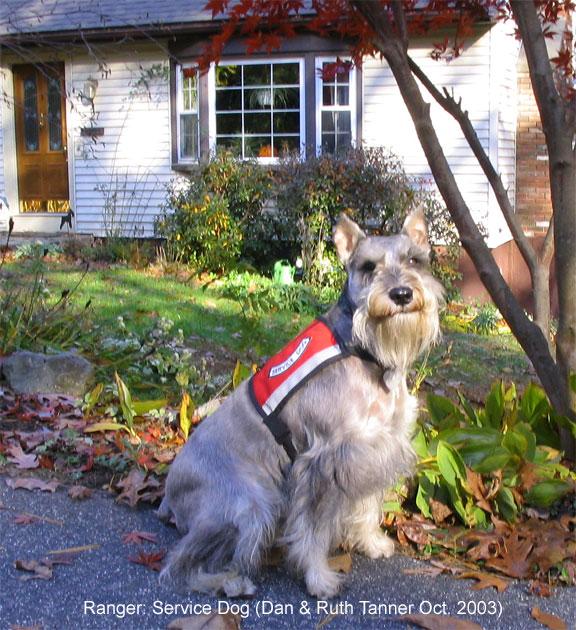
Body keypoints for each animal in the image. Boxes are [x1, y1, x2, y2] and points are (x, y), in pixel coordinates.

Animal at [159, 210, 446, 600]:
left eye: (415, 260)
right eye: (368, 267)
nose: (401, 294)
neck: (364, 351)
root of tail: (168, 495)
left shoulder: (373, 449)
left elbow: (368, 505)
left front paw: (372, 542)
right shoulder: (322, 462)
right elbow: (312, 530)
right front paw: (318, 578)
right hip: (252, 505)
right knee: (182, 564)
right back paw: (231, 582)